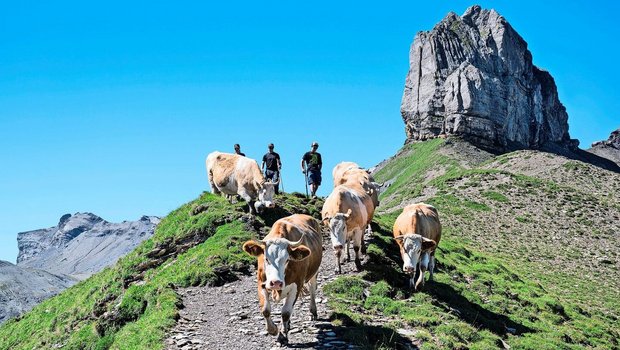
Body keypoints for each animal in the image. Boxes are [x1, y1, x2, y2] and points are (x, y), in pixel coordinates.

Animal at [242, 213, 322, 344]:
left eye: (287, 260)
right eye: (266, 259)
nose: (276, 283)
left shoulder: (297, 285)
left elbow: (286, 312)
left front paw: (283, 335)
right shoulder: (261, 283)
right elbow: (266, 309)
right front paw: (273, 330)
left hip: (314, 273)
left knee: (312, 289)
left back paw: (313, 311)